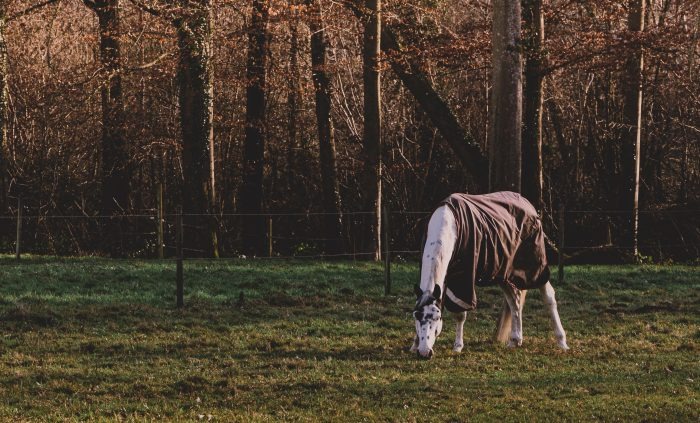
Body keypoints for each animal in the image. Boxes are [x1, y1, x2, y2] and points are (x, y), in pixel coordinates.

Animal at [410, 192, 569, 359]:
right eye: (416, 316)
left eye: (437, 317)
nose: (424, 352)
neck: (448, 226)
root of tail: (528, 204)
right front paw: (415, 345)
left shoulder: (464, 283)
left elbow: (460, 315)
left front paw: (458, 346)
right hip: (503, 274)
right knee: (514, 300)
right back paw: (515, 340)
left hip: (535, 268)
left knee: (548, 296)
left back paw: (561, 341)